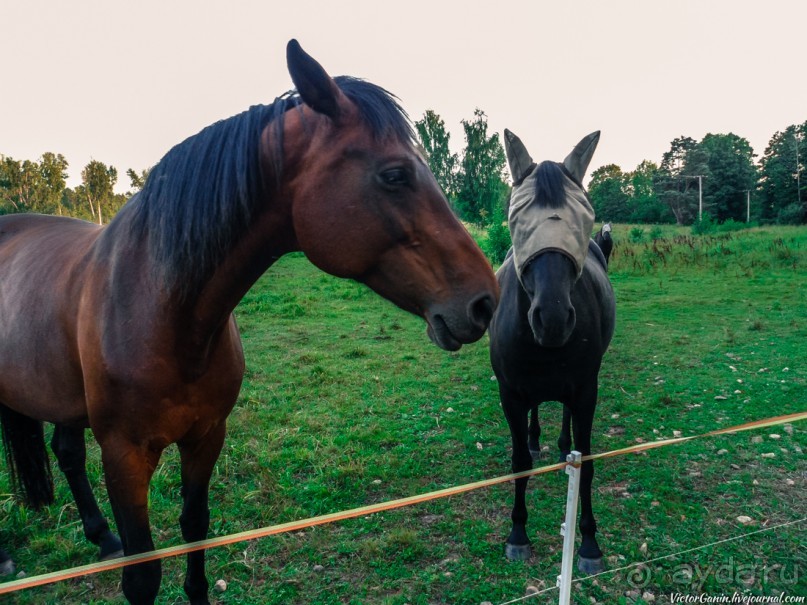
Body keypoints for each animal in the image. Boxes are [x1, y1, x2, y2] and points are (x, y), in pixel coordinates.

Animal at [0, 40, 498, 600]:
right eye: (395, 174)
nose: (485, 301)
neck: (161, 311)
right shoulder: (123, 455)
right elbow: (144, 573)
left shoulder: (206, 437)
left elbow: (195, 528)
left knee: (65, 451)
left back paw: (102, 537)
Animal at [490, 130, 616, 572]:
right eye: (516, 221)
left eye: (584, 219)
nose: (554, 317)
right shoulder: (510, 394)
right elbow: (518, 465)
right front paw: (517, 534)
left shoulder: (585, 392)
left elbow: (586, 464)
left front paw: (590, 543)